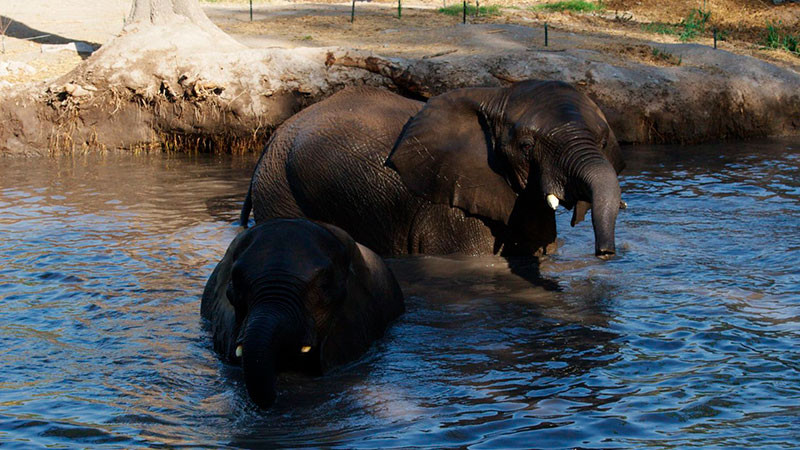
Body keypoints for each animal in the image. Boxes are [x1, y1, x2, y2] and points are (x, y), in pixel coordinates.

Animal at [241, 79, 628, 258]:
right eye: (527, 147)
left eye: (603, 141)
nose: (606, 253)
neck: (497, 98)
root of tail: (275, 135)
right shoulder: (450, 208)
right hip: (280, 186)